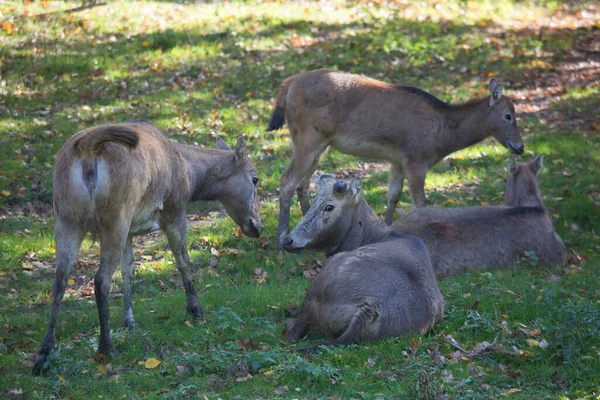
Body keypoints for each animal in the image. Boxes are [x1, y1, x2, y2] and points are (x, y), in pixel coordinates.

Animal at [32, 121, 262, 376]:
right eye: (255, 178)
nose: (257, 226)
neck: (190, 177)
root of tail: (88, 148)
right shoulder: (174, 212)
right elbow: (183, 261)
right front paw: (195, 309)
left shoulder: (131, 232)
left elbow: (129, 271)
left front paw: (129, 322)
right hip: (116, 216)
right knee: (101, 279)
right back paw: (106, 347)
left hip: (66, 216)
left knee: (60, 279)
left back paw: (44, 353)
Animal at [268, 69, 524, 247]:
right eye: (508, 115)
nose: (520, 147)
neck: (442, 137)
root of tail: (287, 86)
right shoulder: (416, 160)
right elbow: (420, 203)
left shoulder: (397, 161)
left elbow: (393, 196)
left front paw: (387, 228)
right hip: (307, 139)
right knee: (287, 181)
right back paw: (282, 237)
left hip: (320, 145)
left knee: (303, 183)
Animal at [280, 173, 440, 348]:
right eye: (313, 203)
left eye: (329, 207)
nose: (288, 241)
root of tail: (369, 309)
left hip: (319, 285)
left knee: (295, 331)